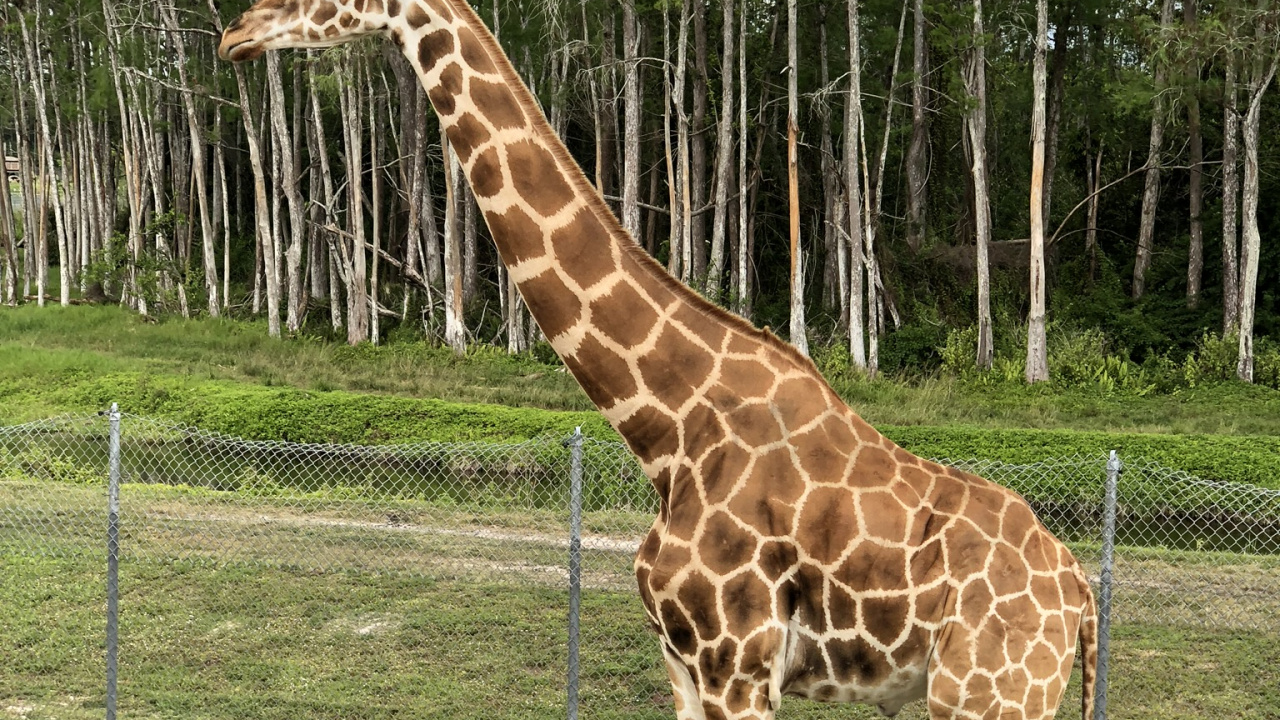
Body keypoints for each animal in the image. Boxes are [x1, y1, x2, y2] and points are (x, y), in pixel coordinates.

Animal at [219, 2, 1098, 718]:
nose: (233, 33)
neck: (668, 430)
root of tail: (1081, 595)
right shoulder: (683, 663)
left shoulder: (737, 666)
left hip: (990, 692)